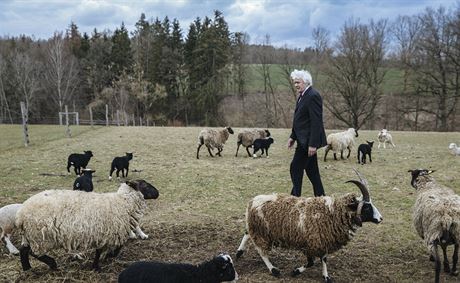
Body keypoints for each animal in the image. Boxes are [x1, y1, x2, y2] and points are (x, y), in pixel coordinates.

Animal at [15, 181, 160, 272]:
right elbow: (108, 249)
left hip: (31, 235)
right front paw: (99, 265)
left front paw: (102, 260)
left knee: (23, 250)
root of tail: (20, 215)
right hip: (39, 236)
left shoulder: (105, 233)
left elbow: (103, 250)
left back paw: (27, 269)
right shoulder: (108, 231)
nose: (158, 193)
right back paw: (52, 264)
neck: (123, 203)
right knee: (33, 253)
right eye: (145, 185)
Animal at [235, 170, 382, 282]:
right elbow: (311, 262)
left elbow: (324, 259)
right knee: (261, 251)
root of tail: (253, 201)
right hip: (261, 232)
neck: (331, 213)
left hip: (257, 227)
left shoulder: (322, 241)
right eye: (367, 207)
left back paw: (239, 252)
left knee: (247, 233)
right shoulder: (311, 242)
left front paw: (326, 276)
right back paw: (273, 269)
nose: (380, 218)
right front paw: (295, 271)